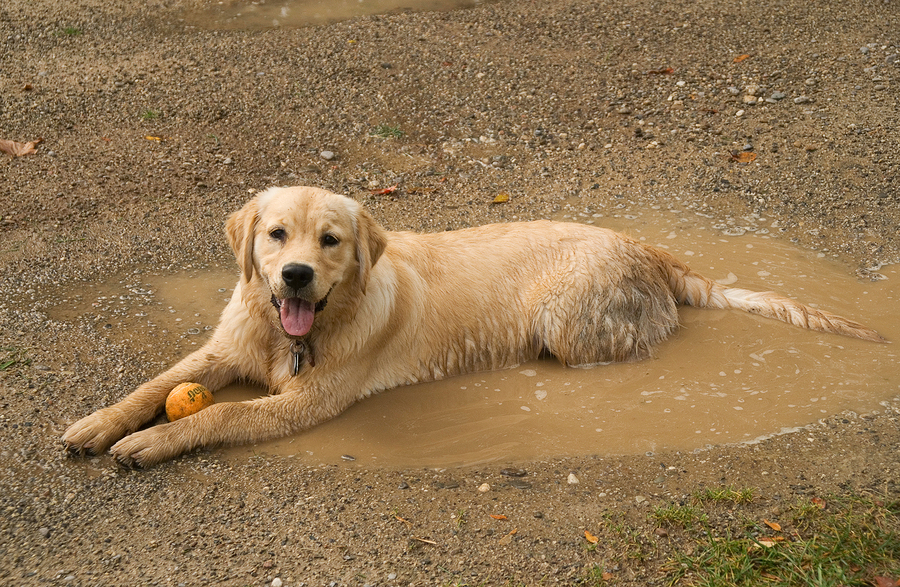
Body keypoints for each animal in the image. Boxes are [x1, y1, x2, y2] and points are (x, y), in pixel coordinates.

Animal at [63, 186, 884, 466]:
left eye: (330, 239)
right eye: (274, 234)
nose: (294, 275)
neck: (290, 333)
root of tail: (646, 247)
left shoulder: (306, 401)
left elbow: (220, 415)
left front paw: (150, 443)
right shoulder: (224, 346)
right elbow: (156, 385)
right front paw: (100, 422)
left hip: (565, 317)